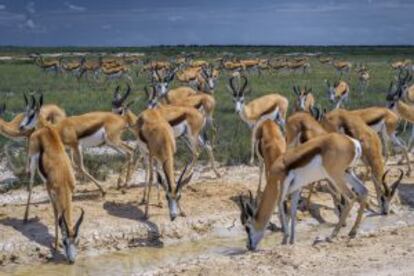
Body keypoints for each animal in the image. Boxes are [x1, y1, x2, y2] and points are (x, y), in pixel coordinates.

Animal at [239, 132, 368, 248]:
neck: (279, 168)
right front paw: (291, 240)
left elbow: (281, 208)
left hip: (335, 176)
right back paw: (353, 231)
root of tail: (353, 142)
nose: (248, 246)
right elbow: (293, 211)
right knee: (363, 191)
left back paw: (332, 235)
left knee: (350, 198)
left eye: (247, 227)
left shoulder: (280, 190)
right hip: (347, 172)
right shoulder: (296, 189)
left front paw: (284, 240)